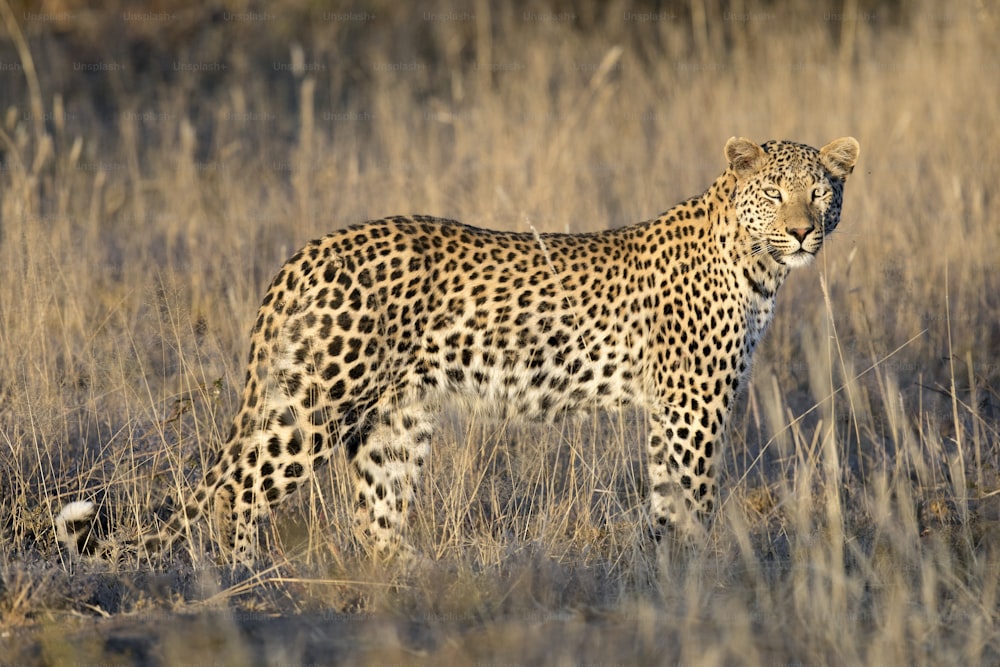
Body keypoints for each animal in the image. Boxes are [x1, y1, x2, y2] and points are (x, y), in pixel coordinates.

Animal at [60, 138, 860, 568]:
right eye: (775, 192)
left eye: (822, 193)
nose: (802, 231)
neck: (755, 262)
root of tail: (307, 252)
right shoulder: (694, 406)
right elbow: (692, 499)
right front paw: (706, 578)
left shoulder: (672, 409)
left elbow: (666, 501)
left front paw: (667, 575)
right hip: (315, 402)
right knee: (237, 491)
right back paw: (244, 583)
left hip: (395, 416)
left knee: (375, 516)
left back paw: (416, 578)